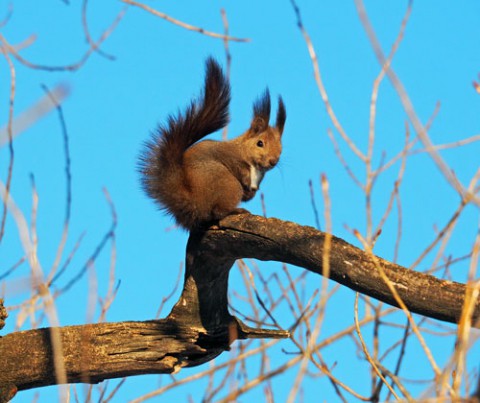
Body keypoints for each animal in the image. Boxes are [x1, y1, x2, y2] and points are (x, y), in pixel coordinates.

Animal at [138, 58, 284, 232]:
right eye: (260, 143)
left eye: (281, 148)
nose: (273, 161)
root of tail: (195, 204)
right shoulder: (229, 156)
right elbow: (237, 167)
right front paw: (246, 179)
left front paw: (251, 194)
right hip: (227, 183)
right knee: (218, 211)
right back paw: (235, 210)